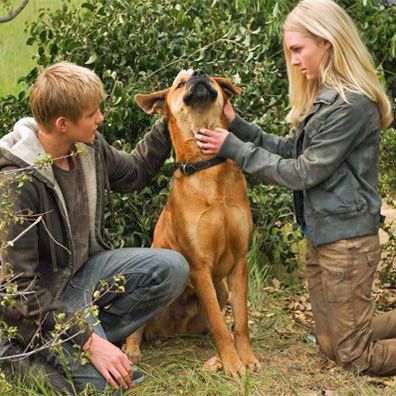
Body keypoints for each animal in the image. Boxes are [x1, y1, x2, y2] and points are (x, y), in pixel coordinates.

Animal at [124, 69, 260, 376]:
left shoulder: (239, 261)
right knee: (134, 330)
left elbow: (240, 322)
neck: (207, 165)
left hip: (221, 289)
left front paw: (245, 358)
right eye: (180, 83)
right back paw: (132, 351)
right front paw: (233, 364)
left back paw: (214, 358)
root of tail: (170, 332)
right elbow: (222, 326)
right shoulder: (199, 266)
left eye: (211, 75)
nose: (198, 73)